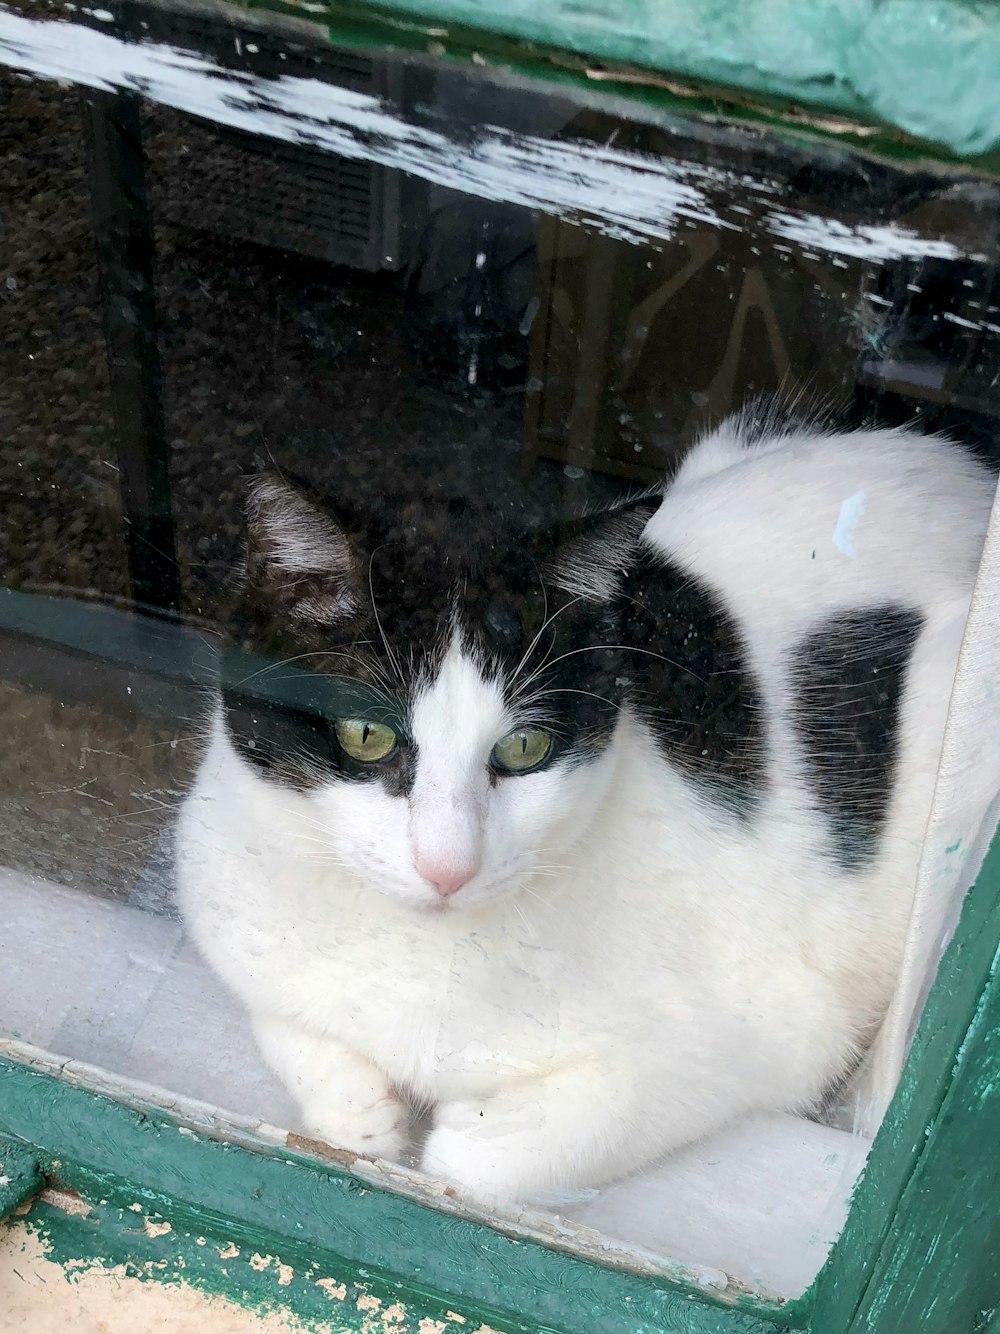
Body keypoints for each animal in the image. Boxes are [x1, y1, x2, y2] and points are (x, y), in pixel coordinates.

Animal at [176, 405, 997, 1200]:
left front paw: (467, 1128)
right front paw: (360, 1109)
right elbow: (289, 1026)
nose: (447, 867)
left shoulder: (778, 1029)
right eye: (367, 734)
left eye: (523, 749)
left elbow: (493, 1156)